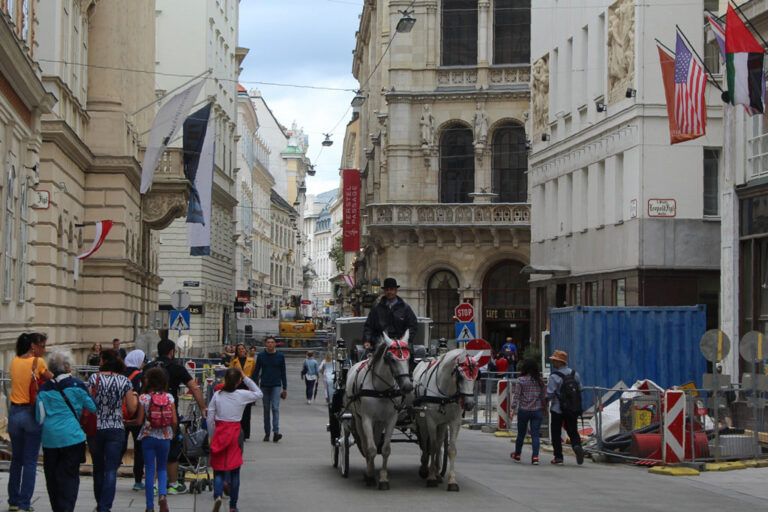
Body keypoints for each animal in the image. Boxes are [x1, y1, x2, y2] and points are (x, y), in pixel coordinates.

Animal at [344, 330, 414, 490]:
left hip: (379, 422)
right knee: (365, 444)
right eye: (391, 359)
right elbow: (370, 448)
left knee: (376, 441)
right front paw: (370, 476)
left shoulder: (390, 419)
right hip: (357, 418)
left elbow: (385, 449)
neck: (381, 390)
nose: (407, 386)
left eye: (409, 358)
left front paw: (383, 479)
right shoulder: (367, 419)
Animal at [414, 350, 474, 490]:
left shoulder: (455, 422)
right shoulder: (431, 421)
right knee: (425, 440)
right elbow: (432, 447)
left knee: (440, 442)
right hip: (422, 420)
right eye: (460, 375)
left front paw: (452, 481)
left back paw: (437, 472)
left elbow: (451, 449)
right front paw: (431, 477)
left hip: (442, 424)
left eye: (476, 375)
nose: (469, 404)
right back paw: (425, 468)